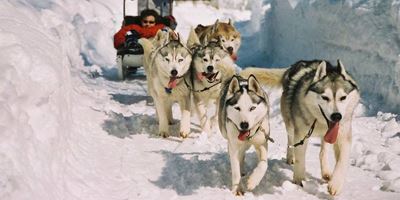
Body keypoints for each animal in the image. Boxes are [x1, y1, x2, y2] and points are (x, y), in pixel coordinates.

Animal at [239, 59, 360, 195]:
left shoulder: (343, 136)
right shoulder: (301, 134)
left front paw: (335, 184)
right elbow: (300, 158)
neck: (319, 122)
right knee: (291, 141)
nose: (337, 116)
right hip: (291, 125)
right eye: (325, 97)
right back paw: (290, 157)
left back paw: (326, 172)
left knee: (323, 151)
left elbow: (342, 161)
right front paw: (298, 180)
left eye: (343, 97)